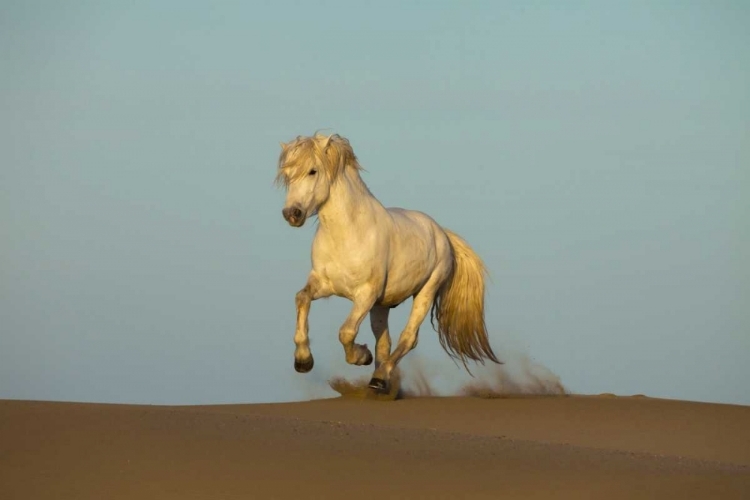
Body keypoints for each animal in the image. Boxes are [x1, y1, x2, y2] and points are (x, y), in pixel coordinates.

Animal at [274, 134, 500, 394]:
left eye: (312, 171)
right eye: (287, 174)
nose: (292, 214)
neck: (348, 233)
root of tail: (442, 233)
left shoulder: (366, 294)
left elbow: (346, 332)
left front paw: (361, 356)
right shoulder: (324, 284)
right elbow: (302, 298)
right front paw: (303, 361)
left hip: (425, 292)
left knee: (408, 338)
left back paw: (379, 379)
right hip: (381, 306)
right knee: (385, 342)